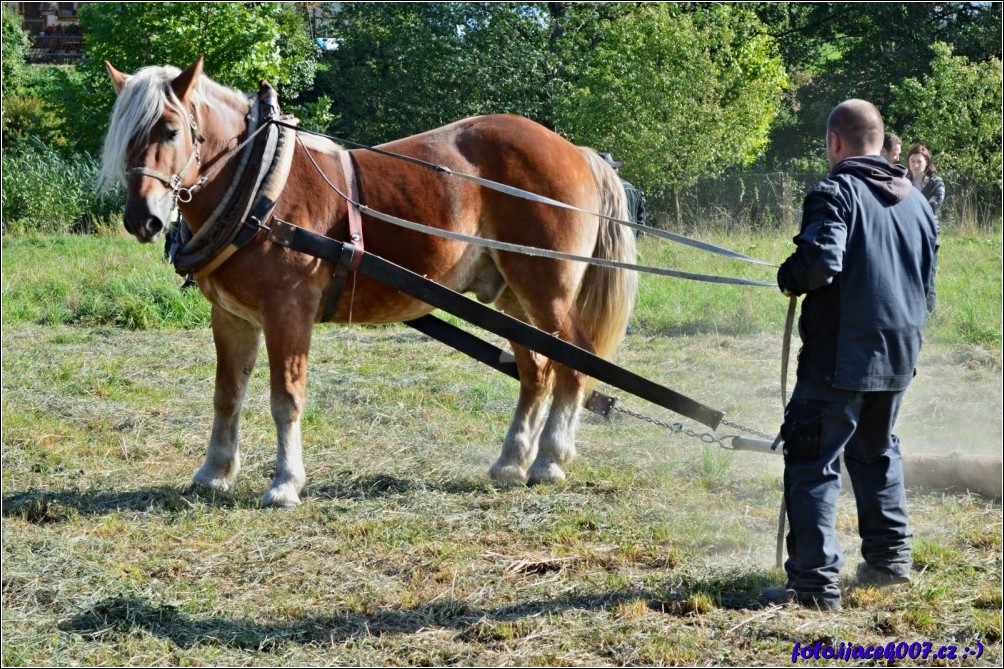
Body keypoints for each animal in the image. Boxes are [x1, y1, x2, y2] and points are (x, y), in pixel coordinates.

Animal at [99, 57, 634, 506]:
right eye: (125, 135)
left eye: (171, 130)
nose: (142, 218)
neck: (258, 182)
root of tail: (577, 151)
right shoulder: (231, 315)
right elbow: (228, 393)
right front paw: (214, 473)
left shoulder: (288, 310)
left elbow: (285, 397)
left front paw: (285, 484)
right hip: (514, 297)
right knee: (536, 370)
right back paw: (511, 462)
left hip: (548, 290)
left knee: (575, 363)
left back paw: (549, 459)